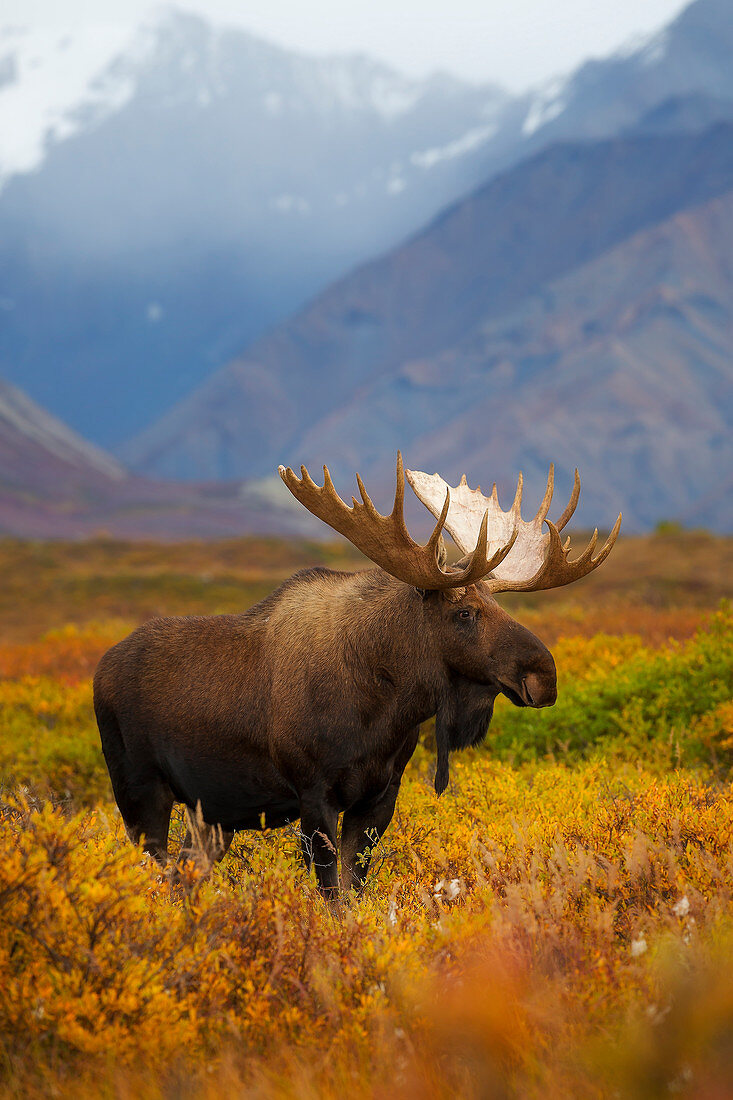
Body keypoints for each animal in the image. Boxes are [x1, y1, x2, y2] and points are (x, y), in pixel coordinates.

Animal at [91, 453, 616, 893]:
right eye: (463, 612)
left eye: (497, 604)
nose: (544, 675)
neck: (385, 708)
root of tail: (100, 670)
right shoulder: (313, 795)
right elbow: (333, 895)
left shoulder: (380, 796)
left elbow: (354, 886)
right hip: (138, 790)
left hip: (211, 813)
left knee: (184, 878)